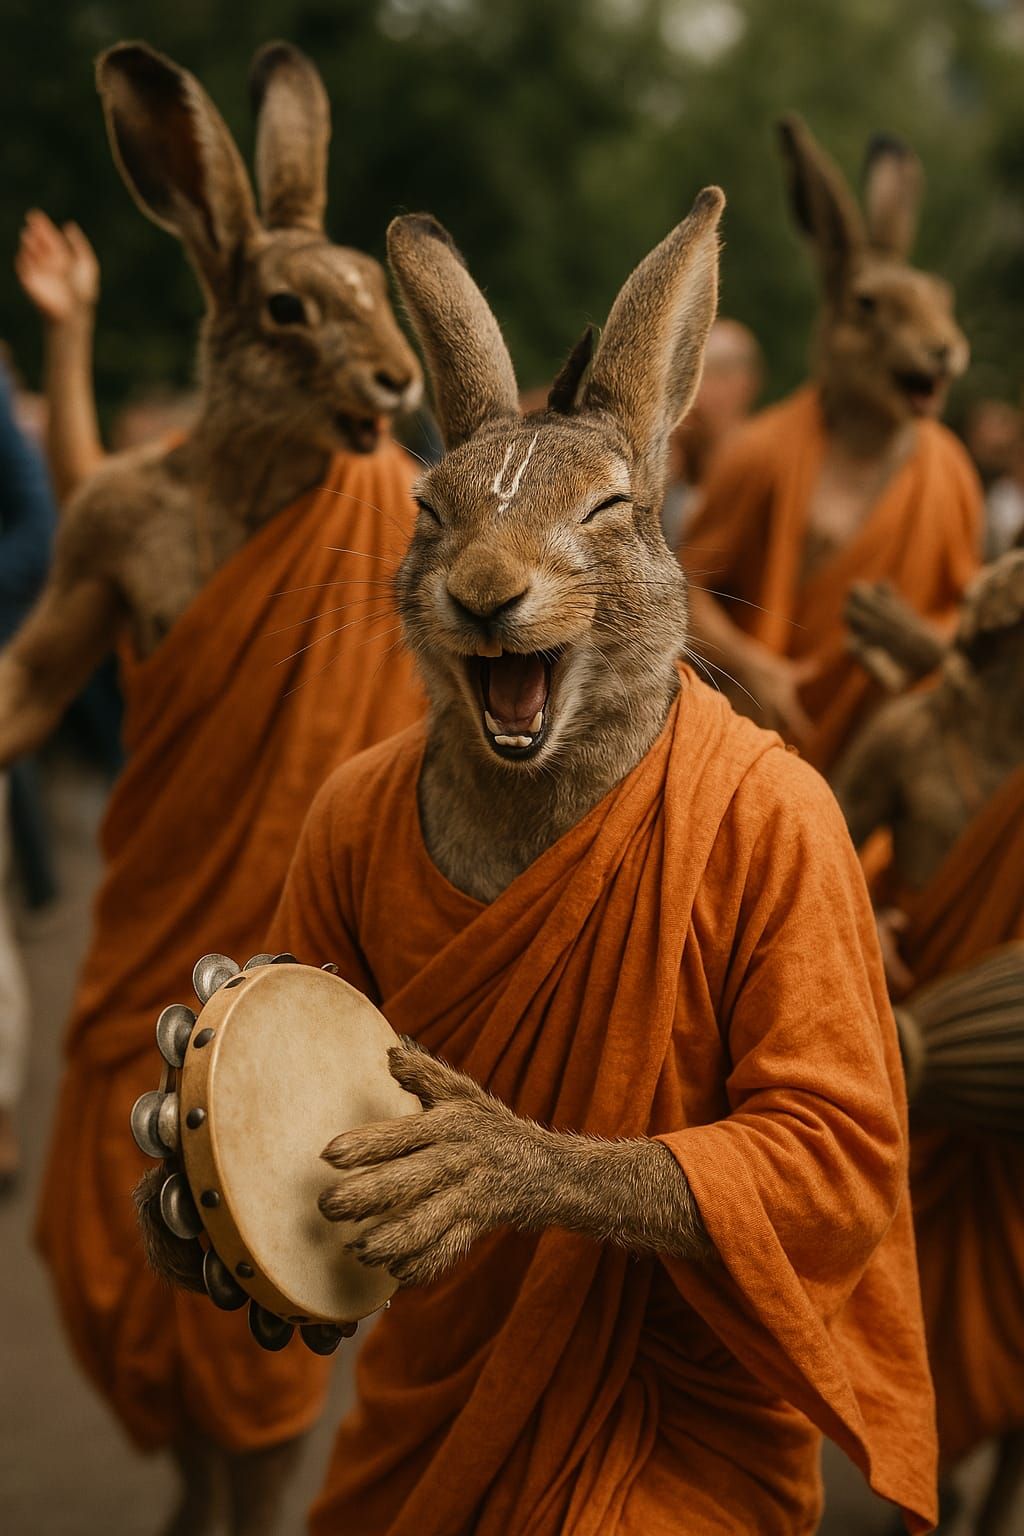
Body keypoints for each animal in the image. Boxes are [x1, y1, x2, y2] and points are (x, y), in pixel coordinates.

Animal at [0, 39, 421, 763]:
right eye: (286, 308)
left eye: (375, 279)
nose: (399, 377)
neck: (240, 490)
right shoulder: (93, 537)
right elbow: (33, 681)